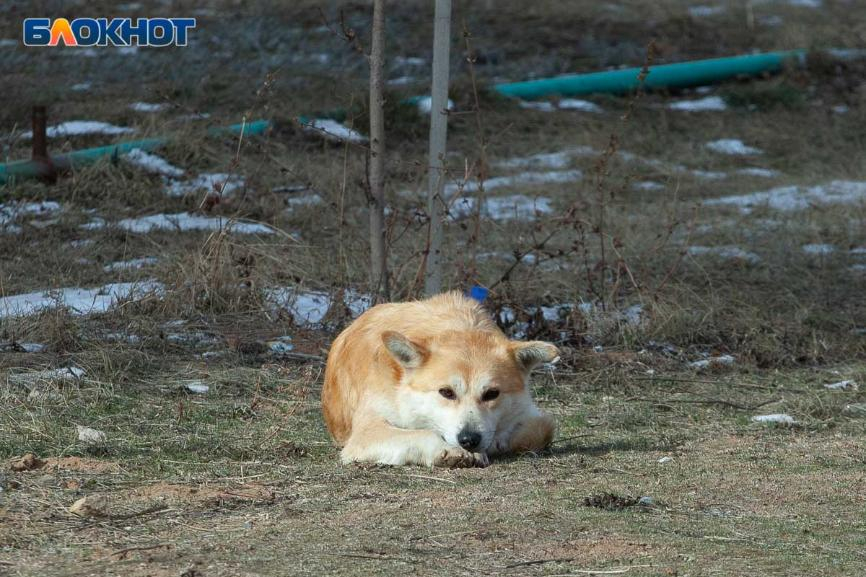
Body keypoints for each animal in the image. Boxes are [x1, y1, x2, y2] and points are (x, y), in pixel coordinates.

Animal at [320, 290, 556, 466]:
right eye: (446, 393)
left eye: (491, 394)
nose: (469, 440)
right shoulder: (366, 432)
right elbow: (420, 434)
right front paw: (449, 450)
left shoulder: (536, 418)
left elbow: (539, 431)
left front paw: (493, 443)